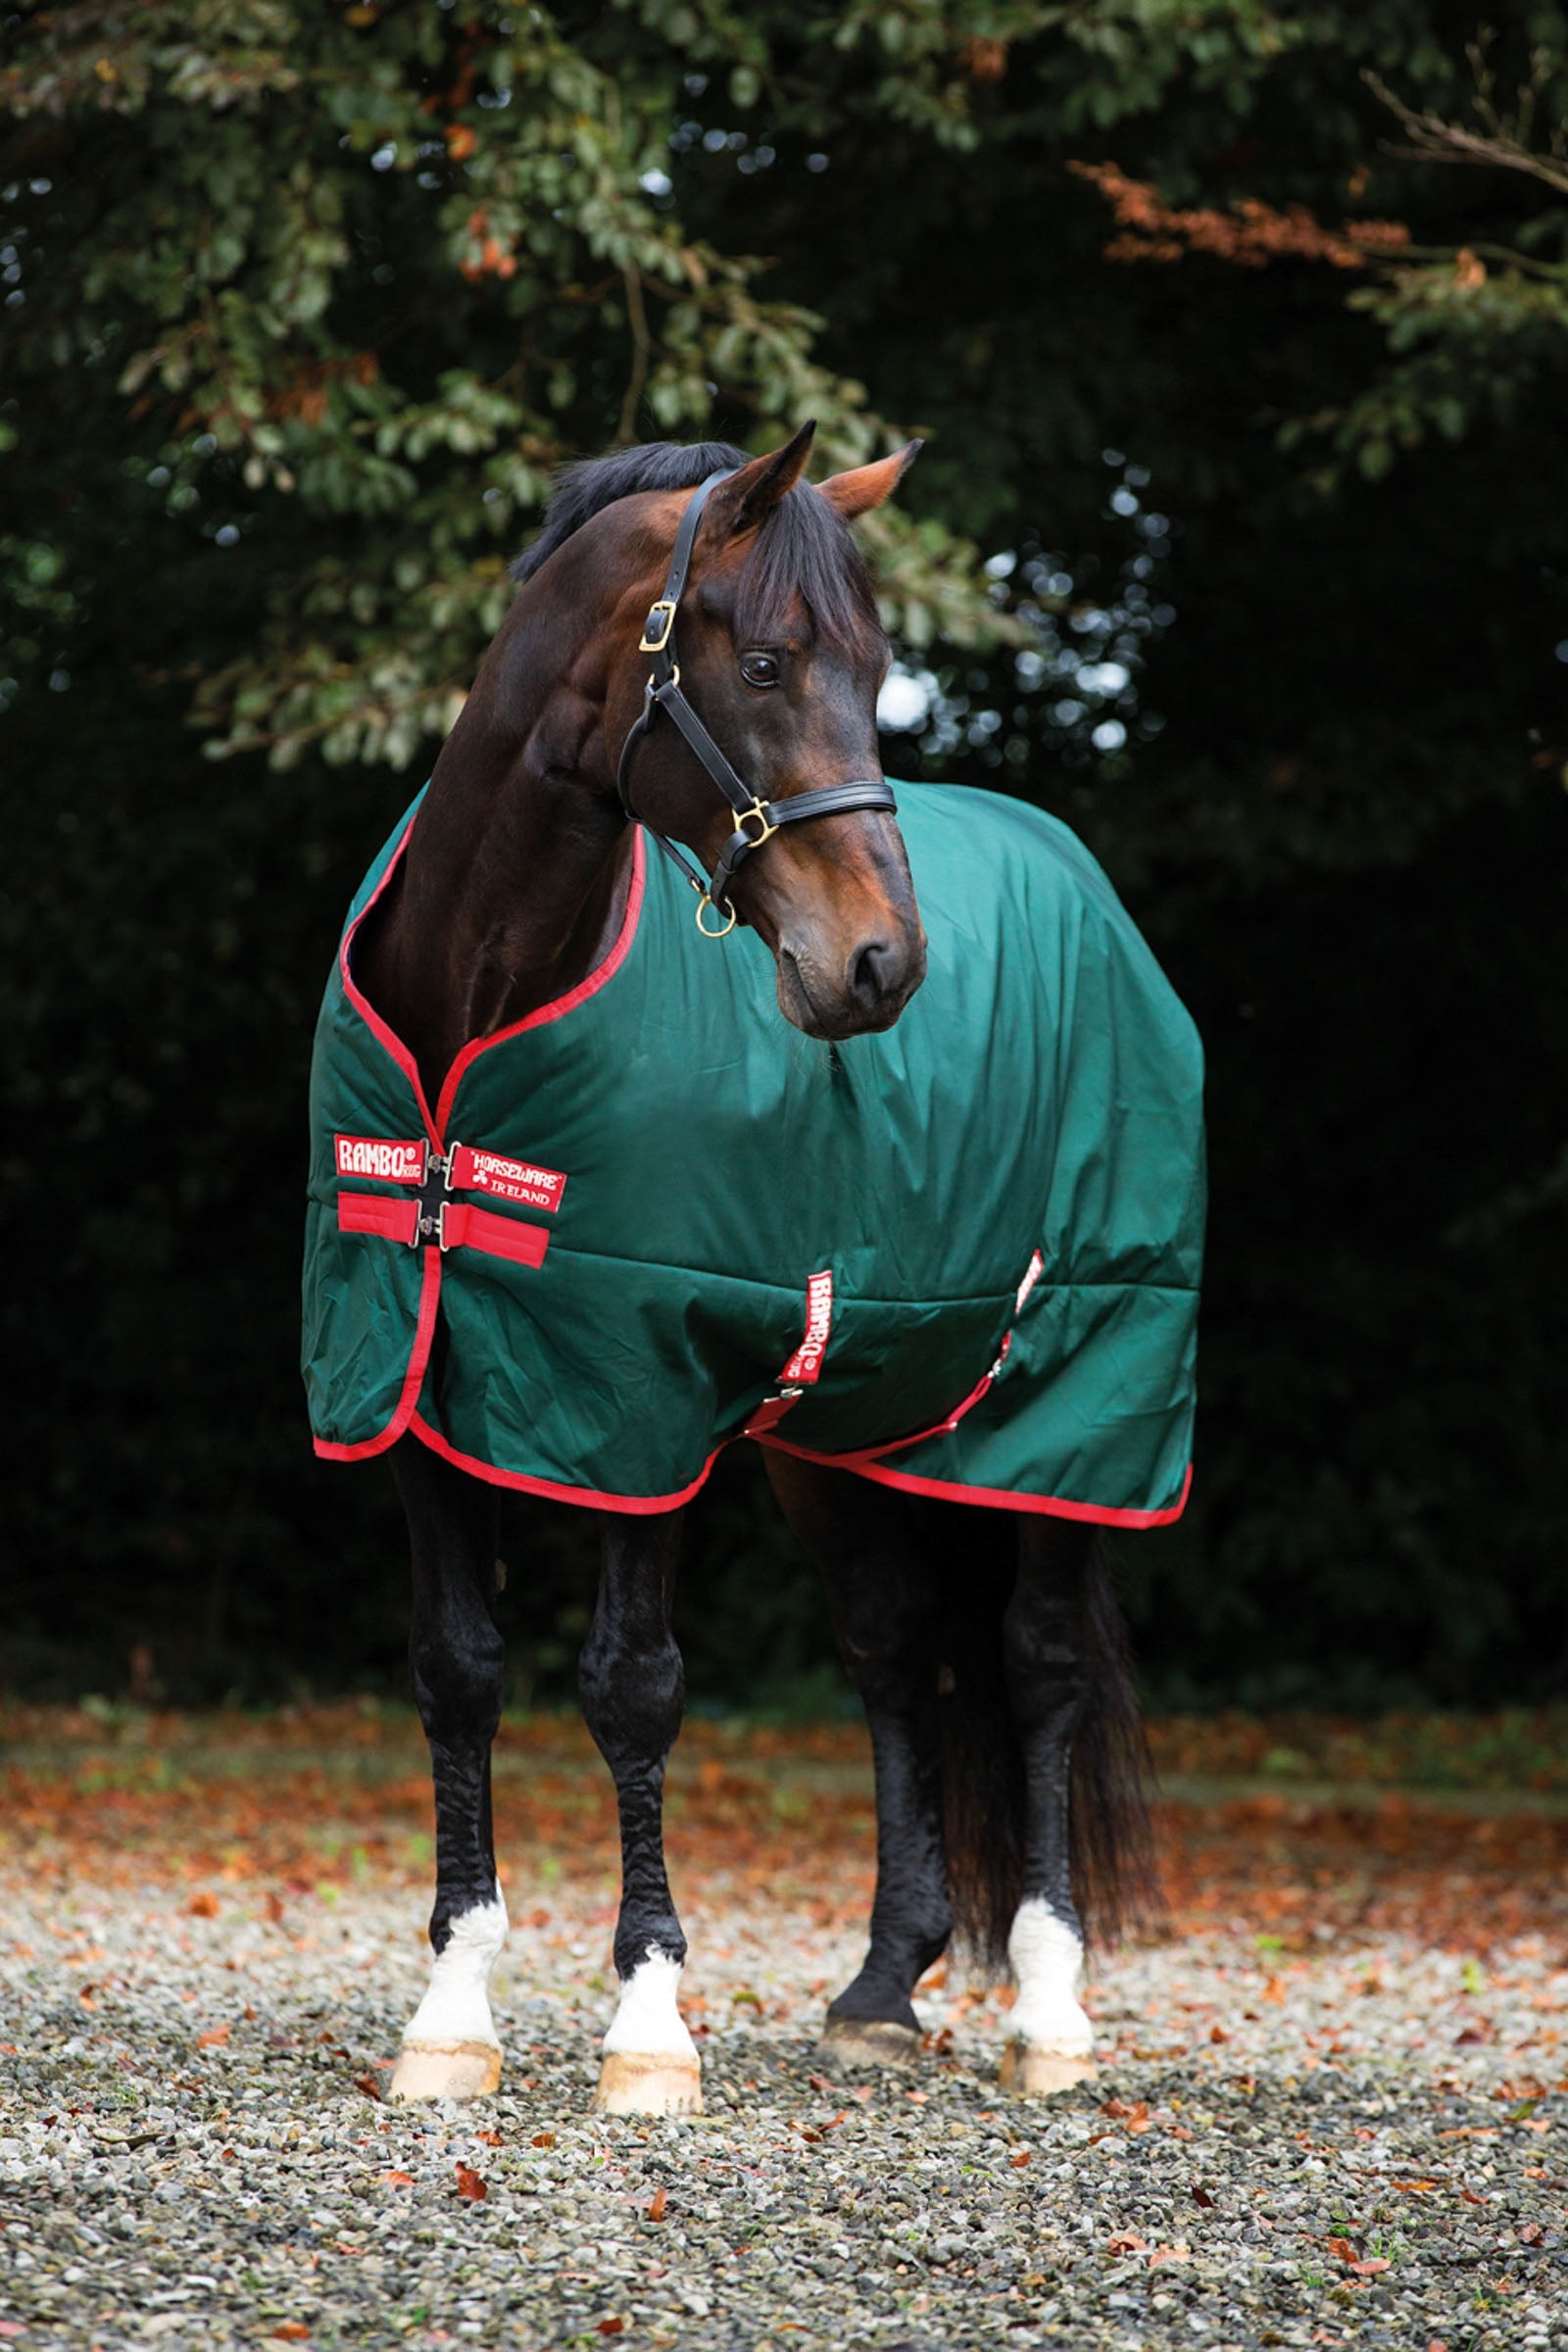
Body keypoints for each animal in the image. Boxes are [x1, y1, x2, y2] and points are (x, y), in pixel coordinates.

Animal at [302, 423, 1205, 2114]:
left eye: (883, 672)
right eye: (773, 662)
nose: (883, 968)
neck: (478, 1009)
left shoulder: (641, 1400)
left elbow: (632, 1683)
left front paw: (649, 2025)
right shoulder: (407, 1384)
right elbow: (458, 1671)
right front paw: (450, 2013)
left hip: (1082, 1402)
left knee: (1040, 1665)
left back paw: (1052, 2013)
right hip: (841, 1434)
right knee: (897, 1655)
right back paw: (881, 1987)